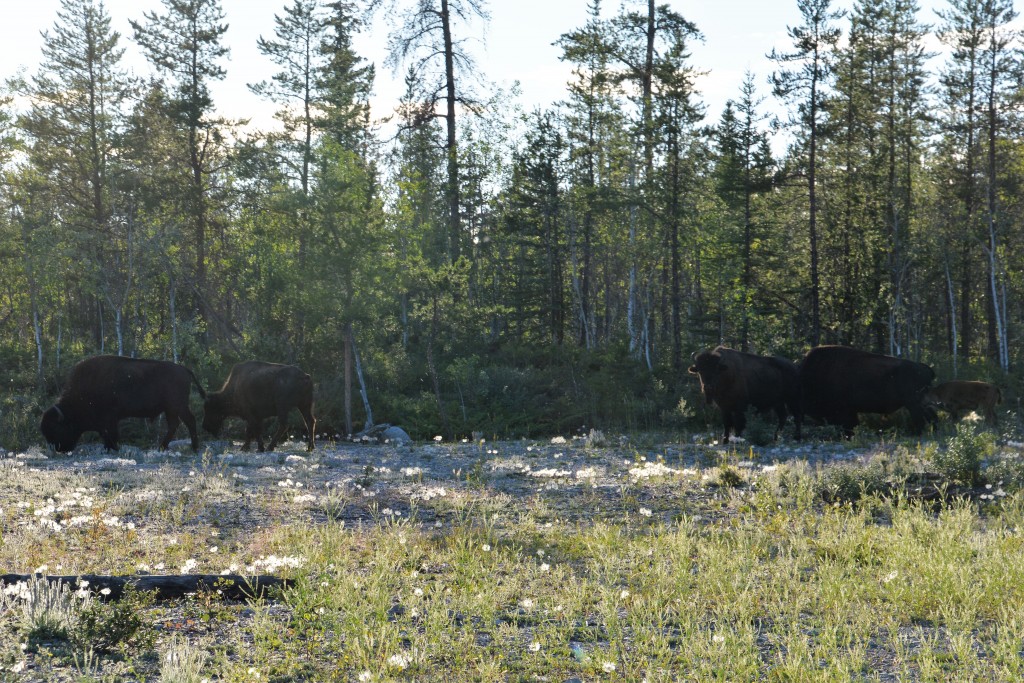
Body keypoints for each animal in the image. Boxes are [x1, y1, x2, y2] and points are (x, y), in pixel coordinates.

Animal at [41, 356, 205, 456]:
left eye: (56, 428)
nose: (59, 449)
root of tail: (185, 370)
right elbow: (106, 436)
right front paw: (108, 448)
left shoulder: (109, 419)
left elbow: (111, 435)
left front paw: (114, 448)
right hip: (173, 408)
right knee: (179, 423)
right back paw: (168, 448)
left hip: (176, 407)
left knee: (185, 422)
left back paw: (185, 448)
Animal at [798, 348, 937, 438]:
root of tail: (925, 368)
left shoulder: (844, 411)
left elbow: (849, 424)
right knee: (931, 416)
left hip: (913, 403)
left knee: (922, 418)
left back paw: (918, 434)